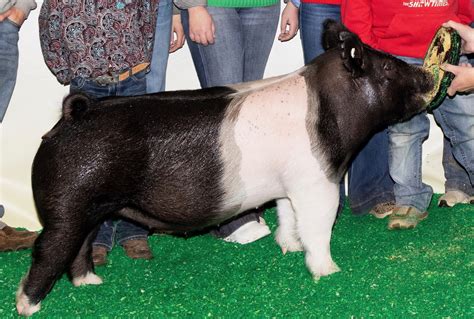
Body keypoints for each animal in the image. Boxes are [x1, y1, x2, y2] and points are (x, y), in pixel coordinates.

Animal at [17, 21, 434, 316]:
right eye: (386, 66)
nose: (427, 75)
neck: (330, 110)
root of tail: (73, 115)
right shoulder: (318, 182)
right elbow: (319, 227)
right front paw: (329, 272)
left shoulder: (289, 185)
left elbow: (288, 216)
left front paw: (288, 248)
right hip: (67, 204)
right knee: (48, 250)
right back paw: (28, 306)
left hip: (91, 206)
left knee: (80, 246)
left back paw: (91, 283)